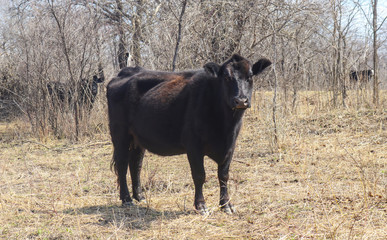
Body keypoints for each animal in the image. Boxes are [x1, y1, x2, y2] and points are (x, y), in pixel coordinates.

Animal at [107, 54, 272, 214]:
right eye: (226, 77)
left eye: (250, 76)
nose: (241, 100)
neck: (225, 126)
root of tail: (125, 72)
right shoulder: (193, 146)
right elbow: (199, 175)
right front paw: (201, 206)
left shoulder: (230, 147)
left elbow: (224, 176)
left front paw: (226, 205)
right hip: (120, 134)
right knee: (122, 164)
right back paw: (126, 199)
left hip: (137, 138)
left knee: (136, 164)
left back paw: (139, 196)